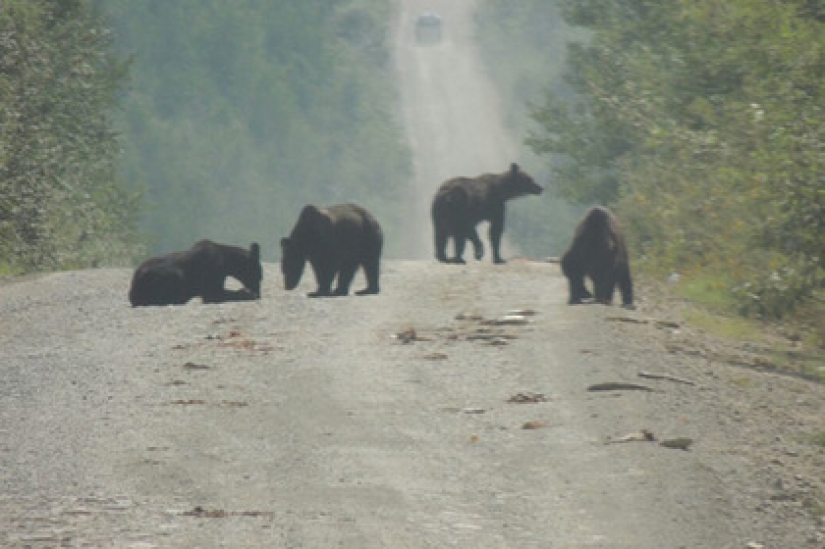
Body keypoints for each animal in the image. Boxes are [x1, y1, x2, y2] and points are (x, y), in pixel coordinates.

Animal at [129, 240, 262, 307]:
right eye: (259, 276)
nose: (258, 294)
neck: (227, 265)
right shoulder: (211, 287)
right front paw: (247, 293)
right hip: (173, 276)